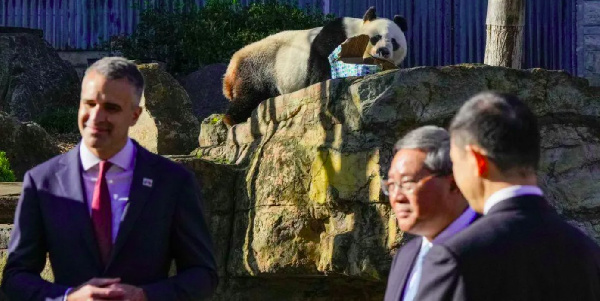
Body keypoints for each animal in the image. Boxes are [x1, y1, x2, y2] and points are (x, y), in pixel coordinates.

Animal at [223, 6, 410, 124]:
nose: (384, 51)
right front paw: (321, 82)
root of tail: (232, 66)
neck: (356, 32)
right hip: (261, 65)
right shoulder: (336, 34)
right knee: (250, 93)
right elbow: (321, 59)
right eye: (376, 37)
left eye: (394, 42)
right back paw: (232, 119)